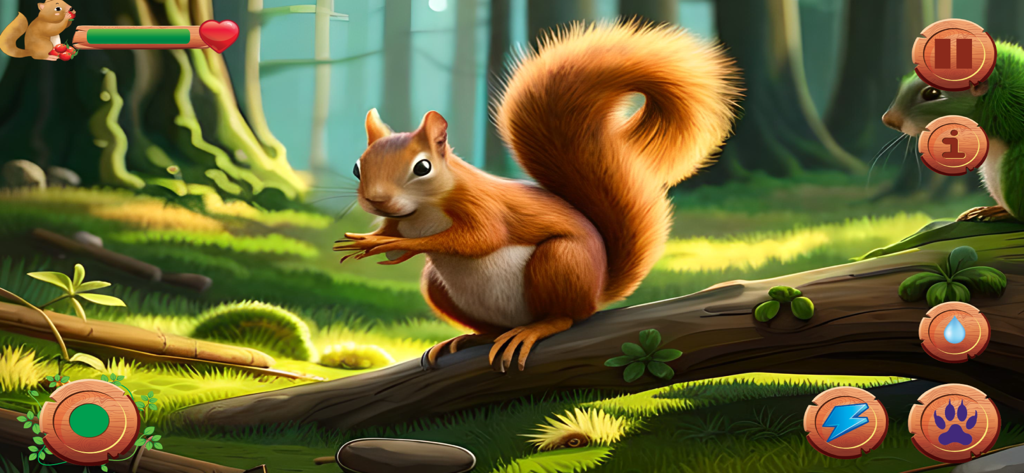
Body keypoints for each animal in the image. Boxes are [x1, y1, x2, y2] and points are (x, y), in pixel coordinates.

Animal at [335, 22, 741, 372]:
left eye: (422, 167)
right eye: (357, 167)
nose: (376, 200)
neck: (421, 212)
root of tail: (596, 292)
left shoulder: (482, 205)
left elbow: (480, 238)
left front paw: (391, 243)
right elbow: (397, 239)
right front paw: (374, 240)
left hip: (560, 262)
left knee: (564, 317)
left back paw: (533, 330)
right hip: (437, 286)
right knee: (490, 326)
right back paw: (467, 339)